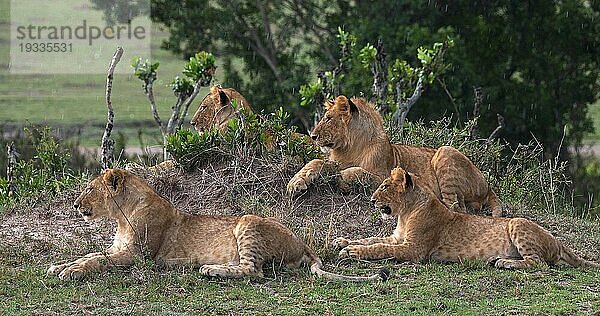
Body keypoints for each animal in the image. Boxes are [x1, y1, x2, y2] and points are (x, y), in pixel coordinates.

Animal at [47, 169, 384, 282]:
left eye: (89, 188)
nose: (74, 205)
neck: (121, 214)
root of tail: (303, 244)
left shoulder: (137, 255)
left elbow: (97, 261)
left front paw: (71, 272)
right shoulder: (118, 247)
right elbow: (91, 255)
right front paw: (60, 266)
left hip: (248, 221)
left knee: (253, 271)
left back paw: (210, 270)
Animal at [288, 95, 504, 216]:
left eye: (328, 118)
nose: (313, 136)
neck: (350, 147)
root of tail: (488, 186)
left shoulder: (382, 175)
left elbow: (358, 172)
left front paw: (341, 179)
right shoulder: (333, 160)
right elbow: (316, 162)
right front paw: (296, 182)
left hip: (445, 151)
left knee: (458, 208)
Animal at [336, 168, 596, 270]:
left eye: (385, 187)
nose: (371, 200)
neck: (406, 213)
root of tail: (558, 241)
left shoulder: (413, 250)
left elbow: (378, 247)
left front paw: (352, 252)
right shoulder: (397, 238)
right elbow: (371, 239)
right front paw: (343, 242)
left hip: (517, 222)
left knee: (538, 263)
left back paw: (505, 263)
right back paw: (499, 260)